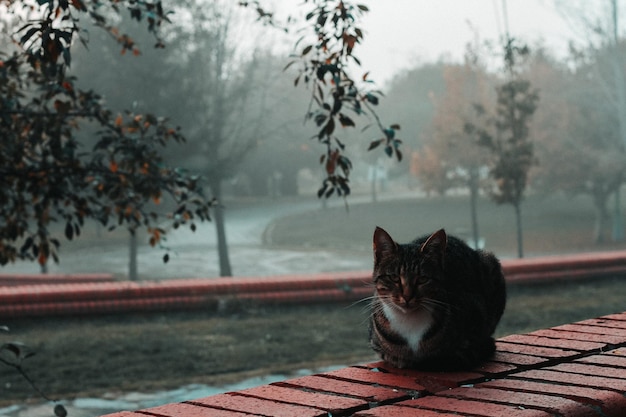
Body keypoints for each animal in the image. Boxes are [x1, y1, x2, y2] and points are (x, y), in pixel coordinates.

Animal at [368, 226, 504, 368]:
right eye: (394, 277)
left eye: (422, 279)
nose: (407, 296)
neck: (409, 321)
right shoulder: (378, 346)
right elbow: (394, 356)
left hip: (490, 264)